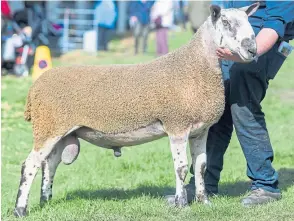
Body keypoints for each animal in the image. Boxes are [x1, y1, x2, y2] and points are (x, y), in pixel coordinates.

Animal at [13, 3, 260, 218]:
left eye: (249, 21)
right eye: (226, 22)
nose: (252, 50)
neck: (195, 67)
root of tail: (35, 88)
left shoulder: (200, 130)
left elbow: (200, 167)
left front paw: (204, 201)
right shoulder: (177, 125)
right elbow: (181, 168)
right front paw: (181, 204)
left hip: (60, 132)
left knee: (49, 164)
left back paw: (46, 201)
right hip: (48, 128)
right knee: (30, 165)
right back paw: (20, 210)